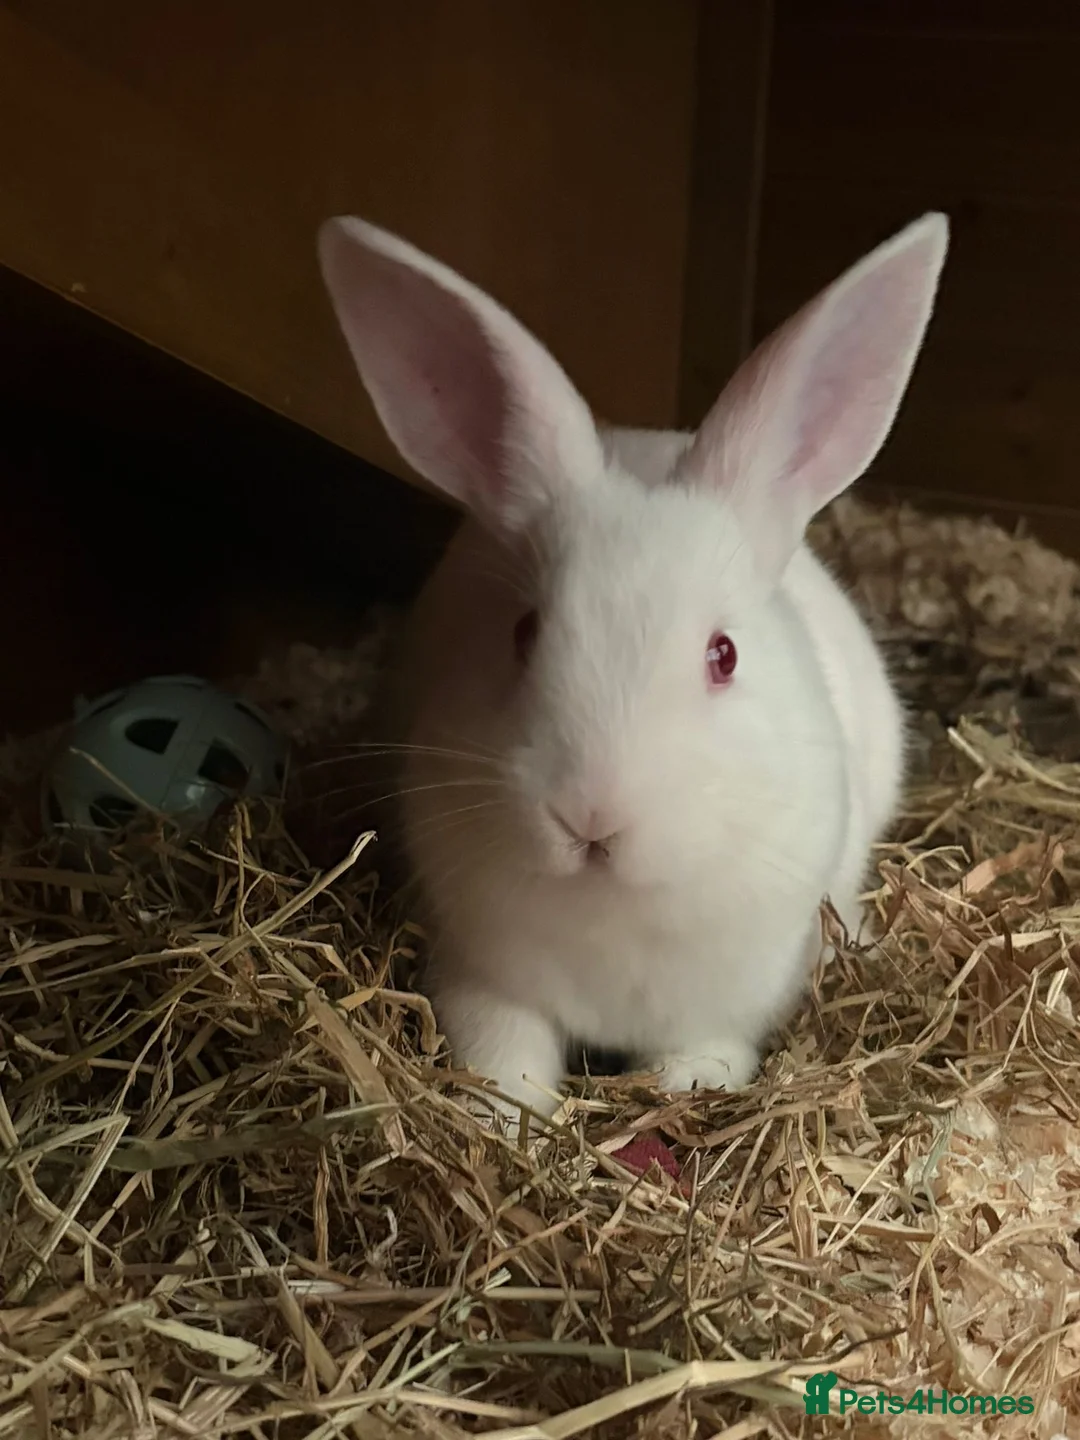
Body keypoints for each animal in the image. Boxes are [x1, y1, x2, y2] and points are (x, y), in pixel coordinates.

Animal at [317, 210, 949, 1120]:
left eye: (724, 655)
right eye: (524, 631)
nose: (591, 816)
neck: (615, 909)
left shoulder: (729, 1003)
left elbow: (706, 1055)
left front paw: (682, 1088)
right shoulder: (483, 977)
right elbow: (503, 1053)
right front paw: (508, 1118)